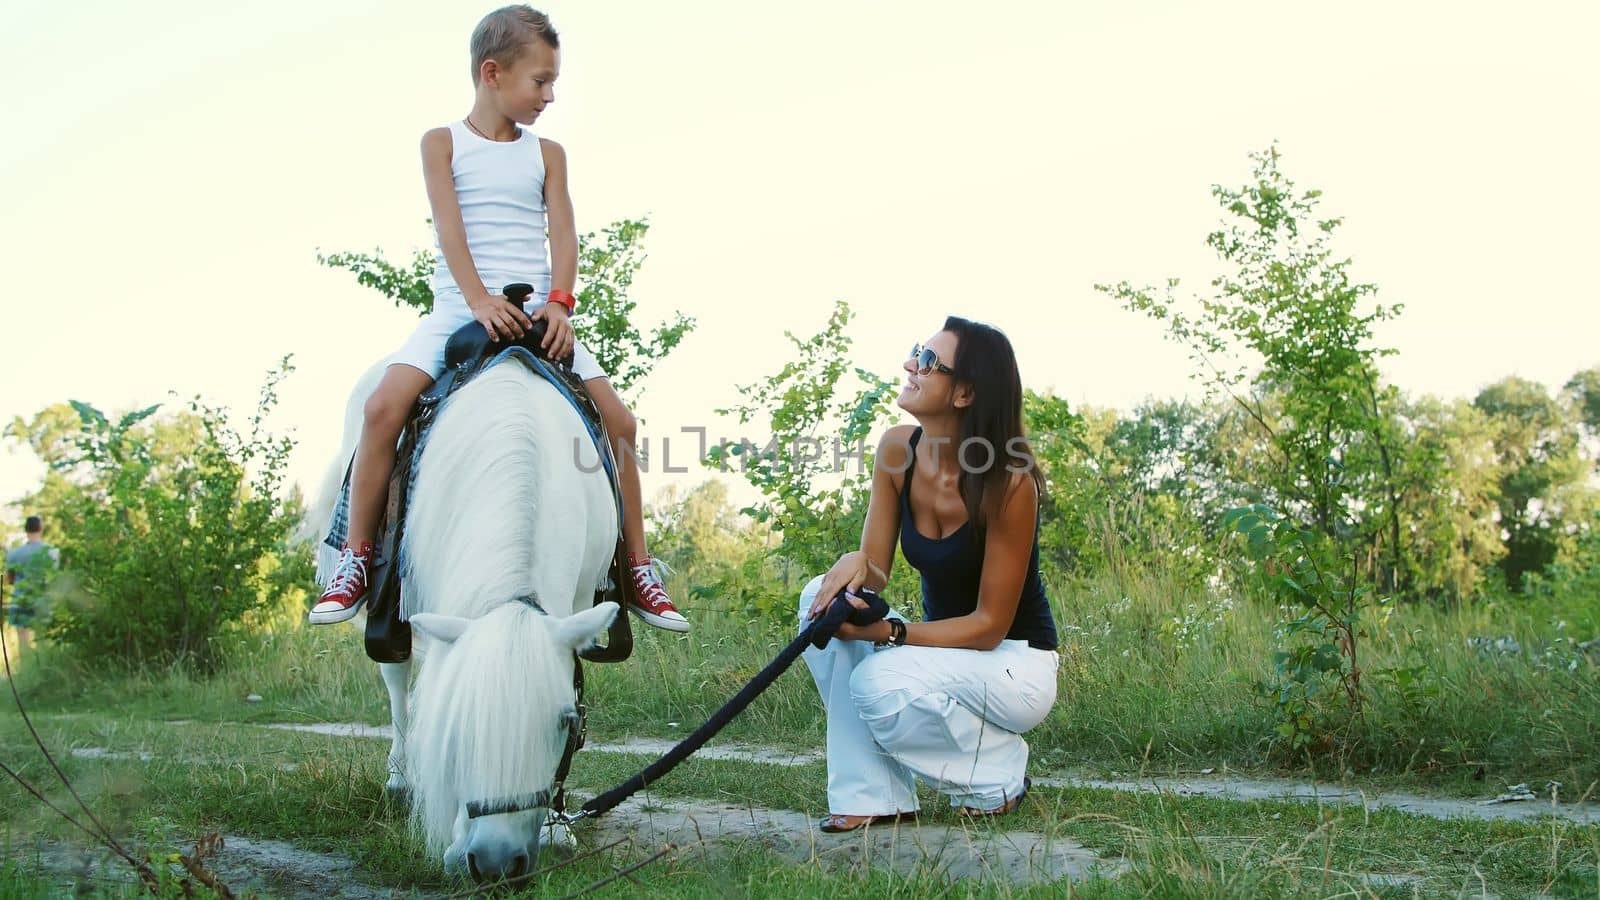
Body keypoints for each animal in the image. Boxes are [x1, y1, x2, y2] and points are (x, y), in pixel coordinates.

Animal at [313, 353, 617, 877]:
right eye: (460, 725)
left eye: (566, 724)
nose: (497, 863)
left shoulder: (579, 601)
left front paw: (557, 828)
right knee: (396, 679)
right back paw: (400, 779)